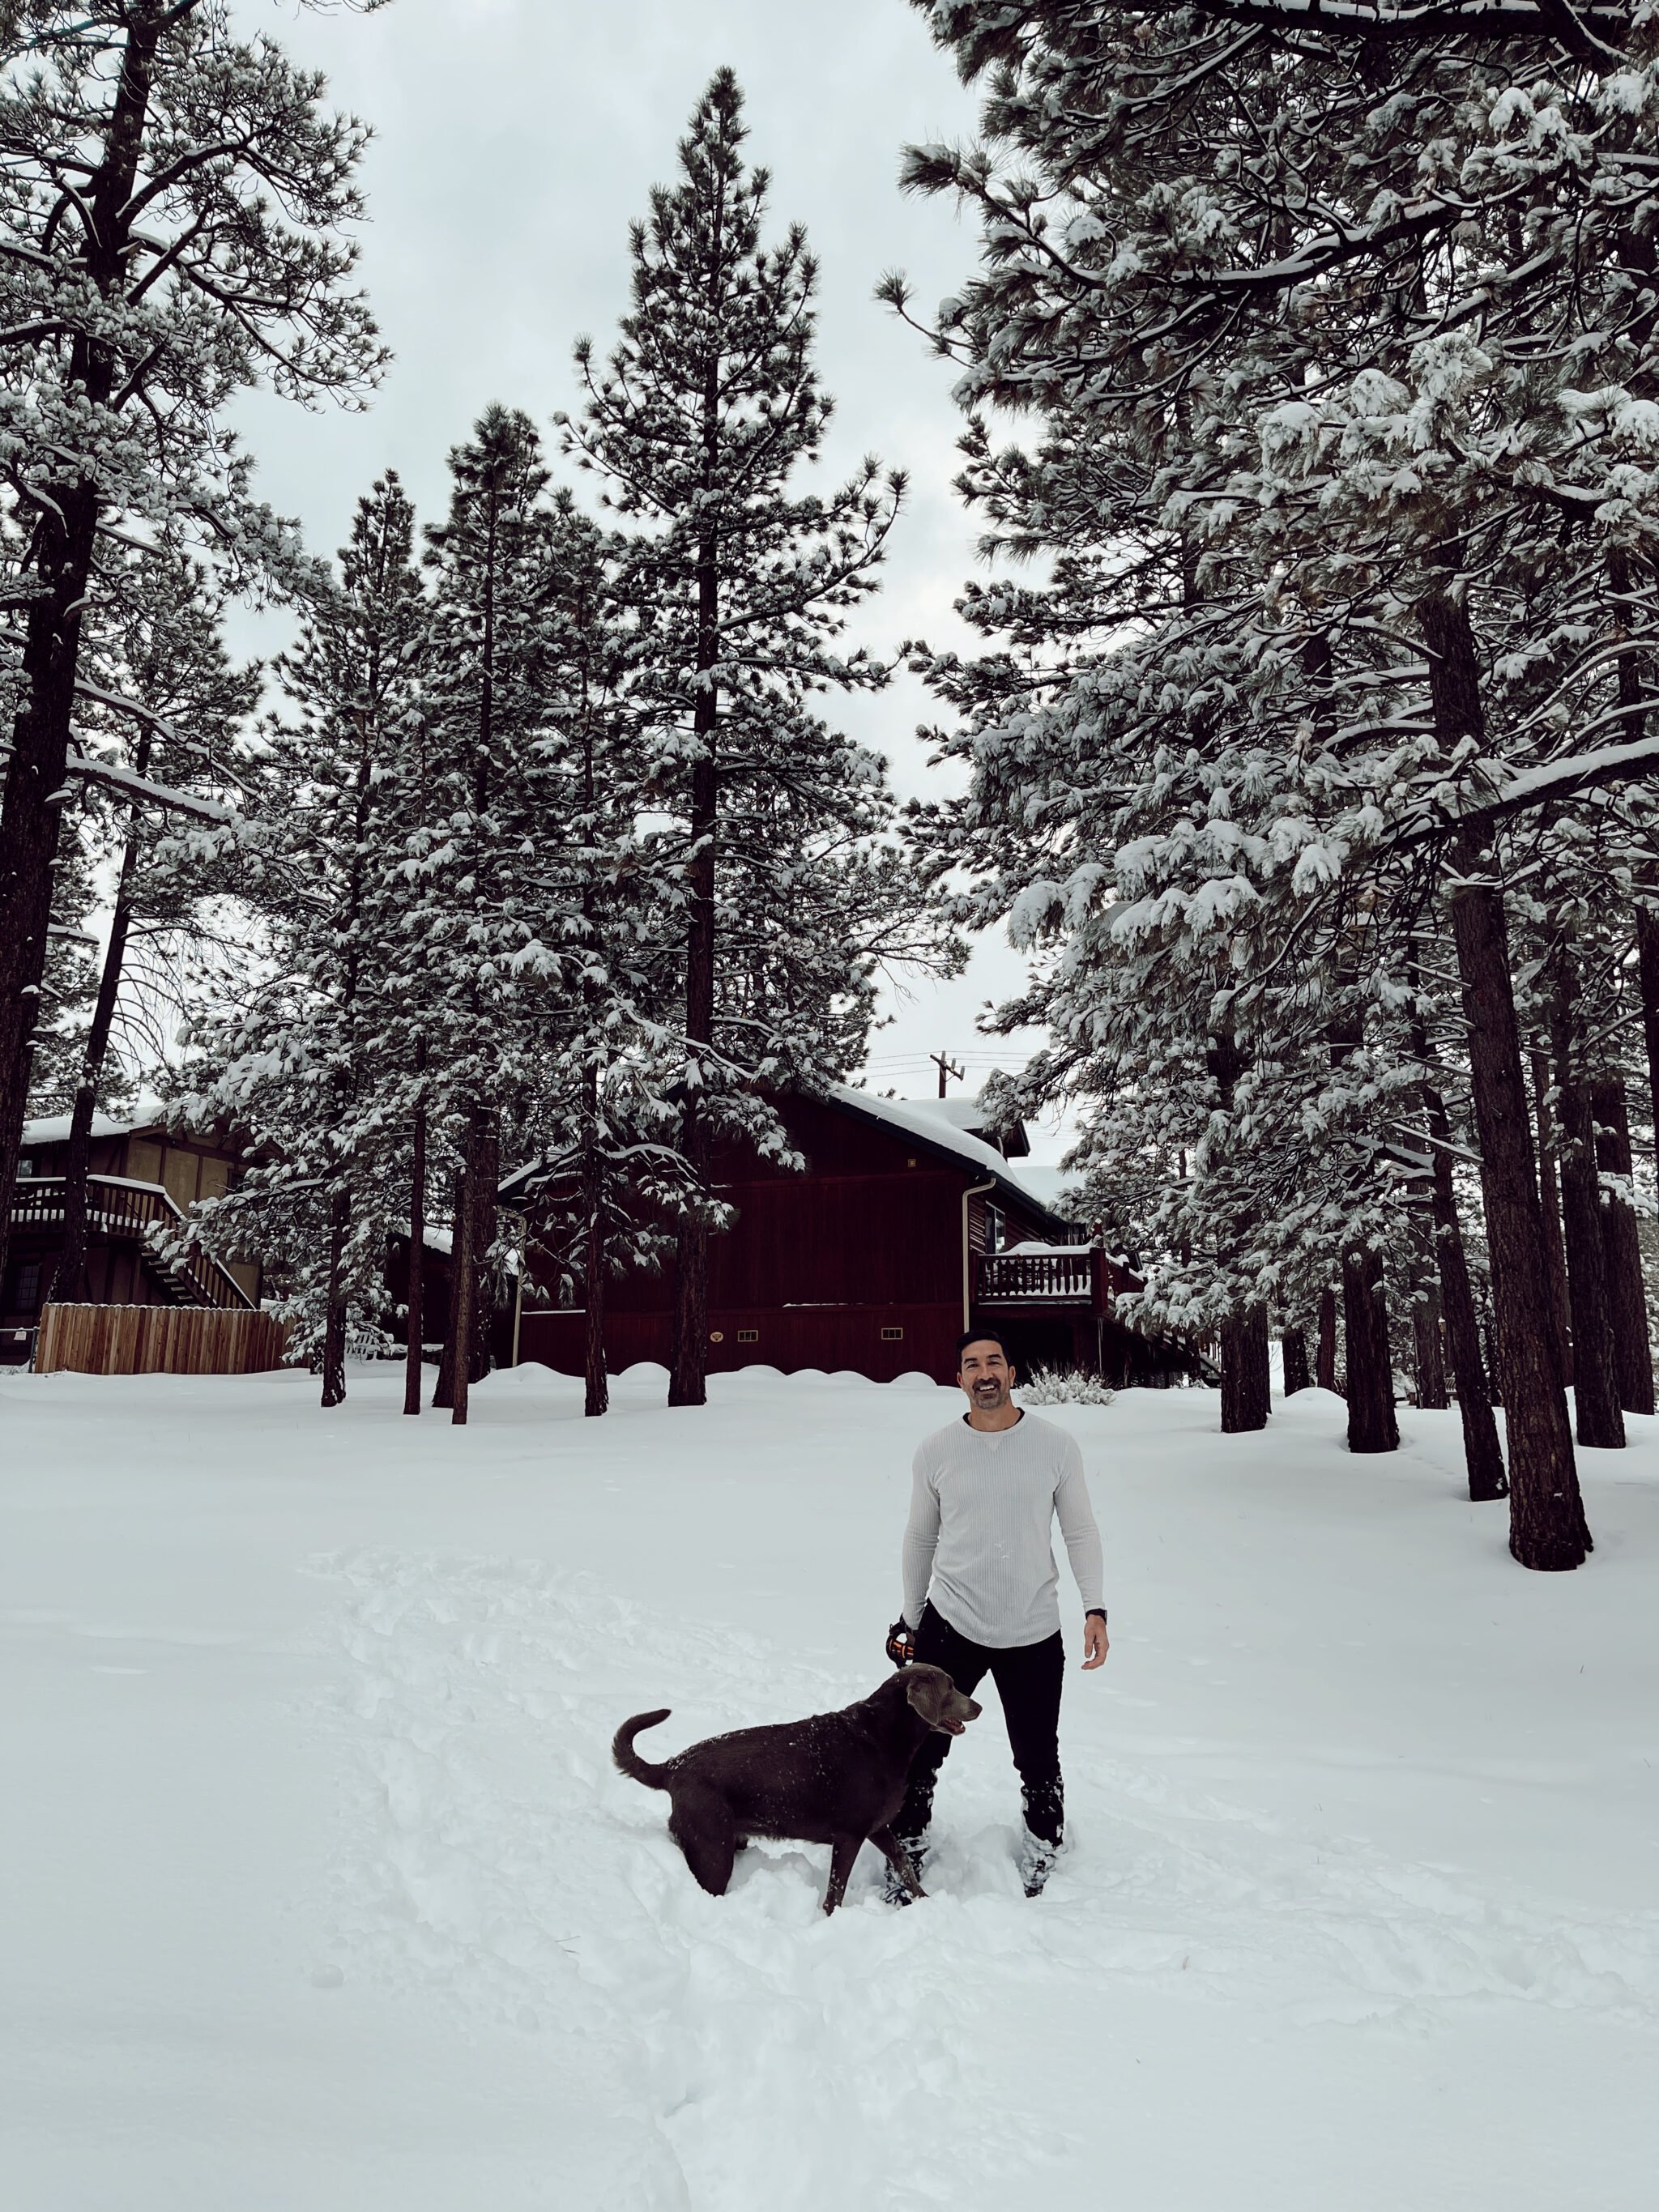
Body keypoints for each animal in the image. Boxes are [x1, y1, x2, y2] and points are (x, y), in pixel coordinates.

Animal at [615, 1663, 982, 1911]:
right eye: (950, 1687)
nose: (979, 1706)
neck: (882, 1738)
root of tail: (672, 1767)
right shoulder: (849, 1835)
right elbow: (836, 1890)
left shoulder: (877, 1828)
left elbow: (904, 1863)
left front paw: (925, 1900)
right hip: (712, 1847)